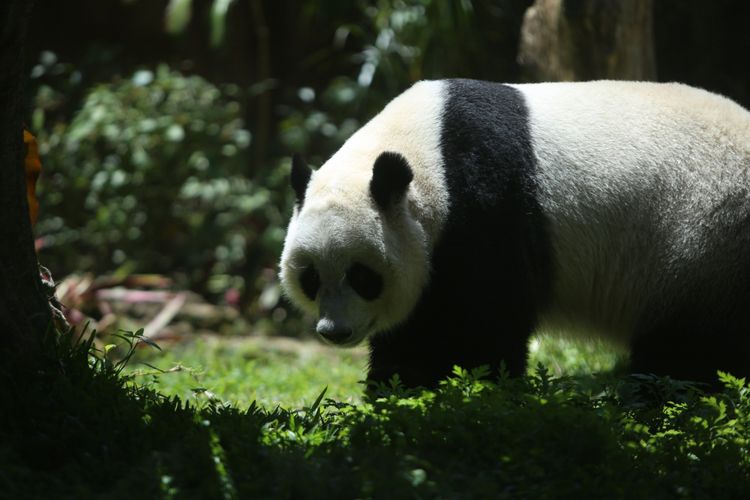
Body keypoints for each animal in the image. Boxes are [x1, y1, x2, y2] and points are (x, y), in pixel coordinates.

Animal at [280, 80, 750, 388]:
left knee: (689, 349)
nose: (334, 331)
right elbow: (414, 331)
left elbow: (480, 324)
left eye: (363, 276)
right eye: (311, 277)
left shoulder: (485, 207)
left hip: (704, 239)